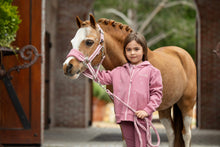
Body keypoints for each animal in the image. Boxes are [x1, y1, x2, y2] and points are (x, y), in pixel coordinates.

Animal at [62, 14, 197, 147]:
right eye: (72, 41)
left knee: (186, 134)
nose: (67, 67)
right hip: (165, 108)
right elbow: (126, 140)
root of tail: (182, 53)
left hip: (187, 105)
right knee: (172, 133)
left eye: (89, 42)